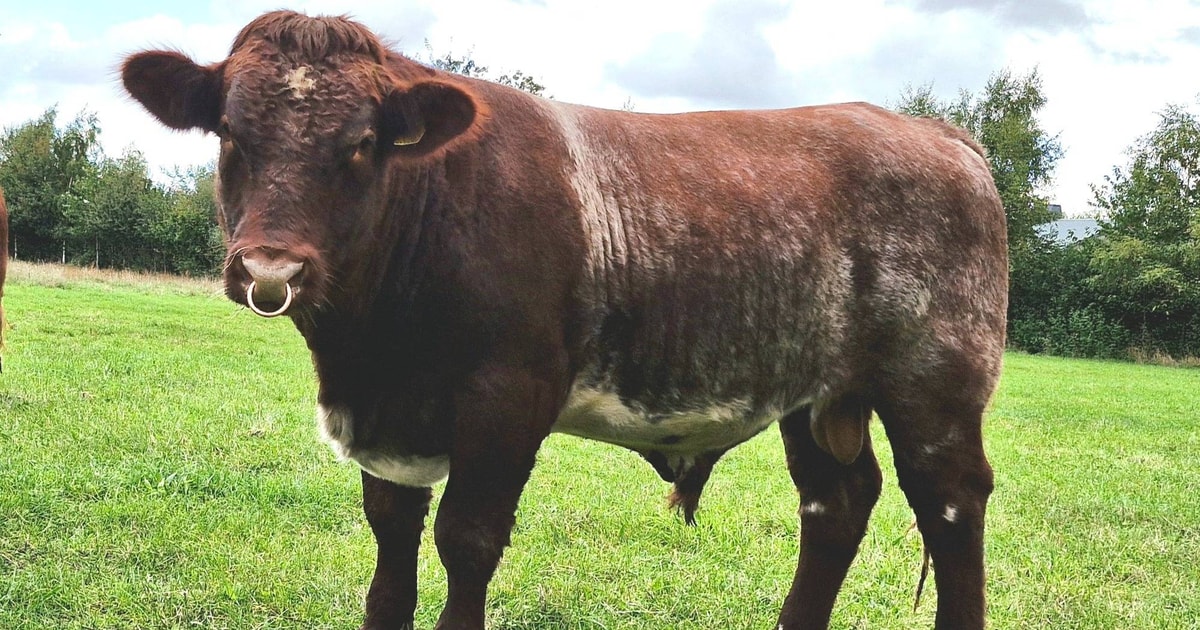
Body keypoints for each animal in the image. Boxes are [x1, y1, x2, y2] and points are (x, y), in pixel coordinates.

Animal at [122, 11, 1007, 630]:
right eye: (230, 132)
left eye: (363, 143)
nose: (271, 269)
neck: (372, 351)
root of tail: (932, 132)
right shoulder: (388, 420)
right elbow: (391, 553)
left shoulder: (507, 397)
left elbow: (467, 540)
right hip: (816, 391)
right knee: (836, 503)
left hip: (936, 382)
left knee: (951, 504)